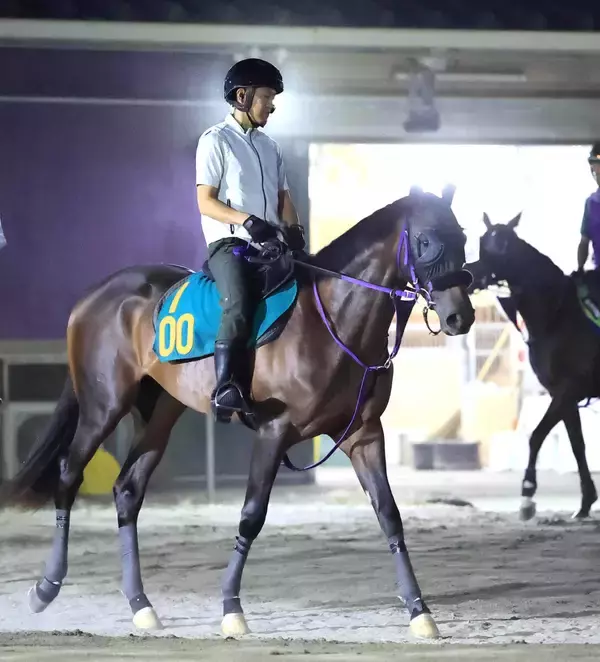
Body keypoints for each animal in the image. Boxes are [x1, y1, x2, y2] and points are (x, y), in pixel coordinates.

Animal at [0, 193, 475, 640]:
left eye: (463, 238)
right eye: (426, 241)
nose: (460, 316)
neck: (332, 322)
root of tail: (94, 295)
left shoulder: (363, 434)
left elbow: (389, 515)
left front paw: (420, 611)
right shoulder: (273, 432)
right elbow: (251, 515)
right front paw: (231, 608)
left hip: (160, 413)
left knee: (128, 490)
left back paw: (140, 604)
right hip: (103, 407)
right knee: (68, 474)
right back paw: (46, 587)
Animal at [468, 211, 600, 521]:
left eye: (507, 245)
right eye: (483, 242)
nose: (469, 274)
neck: (557, 314)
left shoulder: (569, 389)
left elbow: (536, 436)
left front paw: (527, 494)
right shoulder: (563, 396)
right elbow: (577, 445)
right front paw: (586, 501)